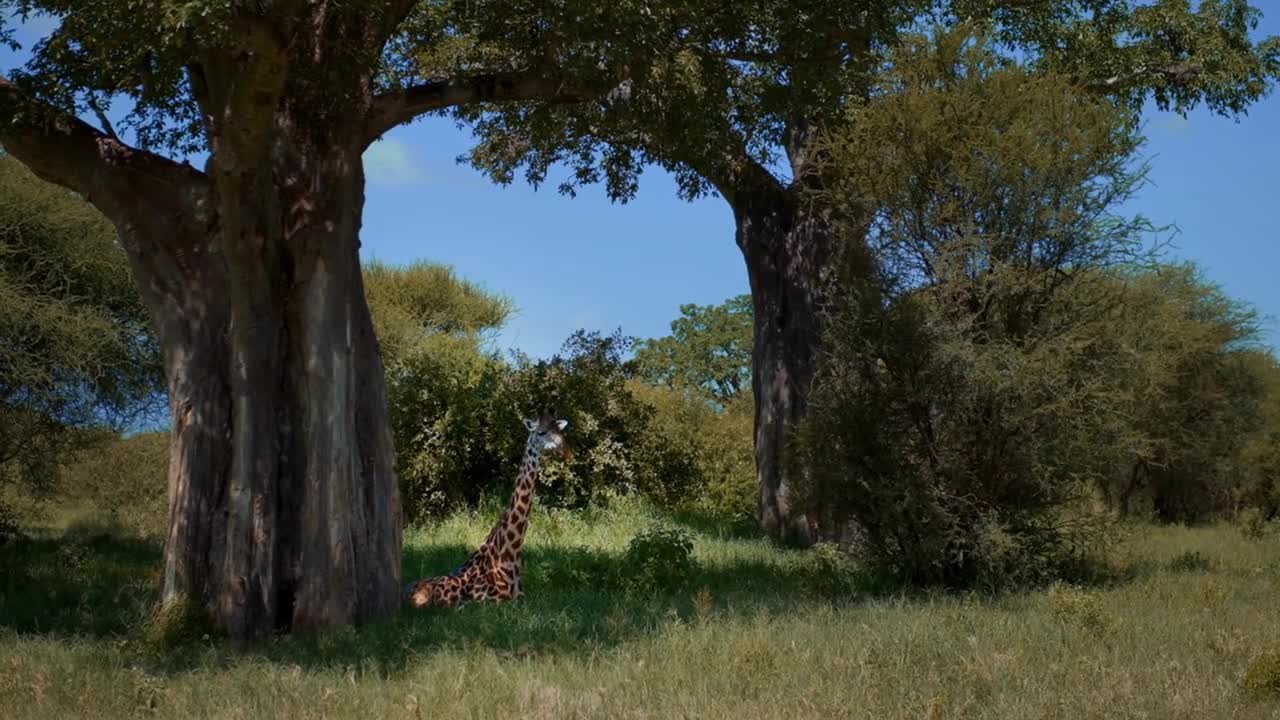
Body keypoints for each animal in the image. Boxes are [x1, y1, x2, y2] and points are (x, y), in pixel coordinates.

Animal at [404, 412, 576, 607]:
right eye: (541, 432)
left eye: (559, 431)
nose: (567, 453)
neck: (510, 555)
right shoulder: (494, 602)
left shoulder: (523, 598)